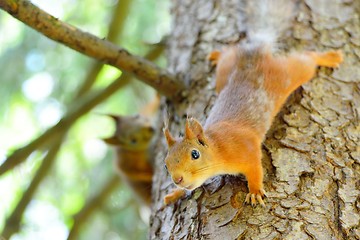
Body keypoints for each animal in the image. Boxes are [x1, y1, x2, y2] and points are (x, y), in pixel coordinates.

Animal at [163, 0, 344, 206]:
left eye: (195, 154)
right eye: (165, 164)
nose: (178, 179)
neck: (218, 147)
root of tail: (256, 52)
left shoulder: (247, 149)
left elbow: (256, 170)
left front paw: (255, 191)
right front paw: (174, 193)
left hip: (287, 75)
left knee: (307, 60)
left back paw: (330, 57)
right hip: (224, 72)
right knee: (230, 53)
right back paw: (218, 53)